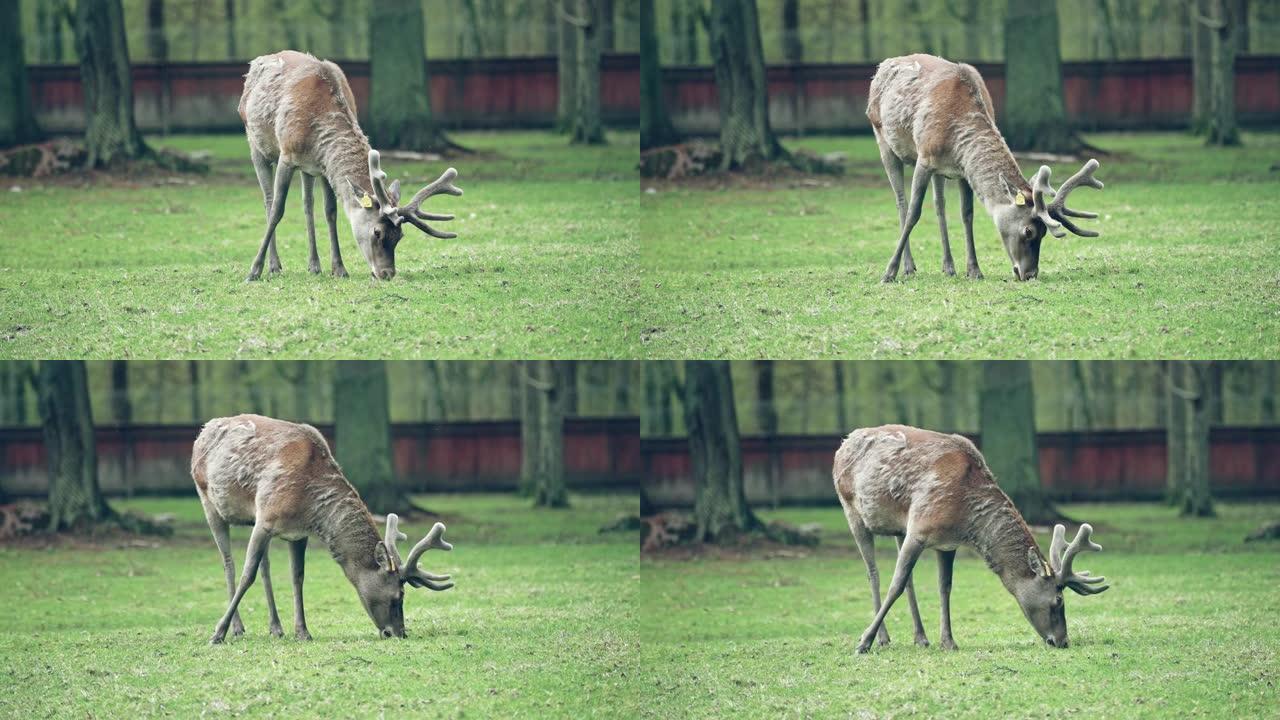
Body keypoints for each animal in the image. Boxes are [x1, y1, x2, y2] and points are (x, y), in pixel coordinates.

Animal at [186, 412, 453, 640]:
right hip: (208, 501)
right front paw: (217, 633)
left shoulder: (295, 532)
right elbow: (246, 575)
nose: (399, 633)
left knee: (265, 567)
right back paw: (237, 628)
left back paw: (276, 628)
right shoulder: (267, 519)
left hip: (252, 518)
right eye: (398, 596)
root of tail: (203, 431)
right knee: (229, 563)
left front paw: (303, 632)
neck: (309, 501)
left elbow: (297, 576)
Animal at [238, 49, 463, 280]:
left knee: (307, 204)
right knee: (268, 200)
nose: (387, 273)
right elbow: (277, 210)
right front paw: (254, 271)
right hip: (255, 144)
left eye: (400, 235)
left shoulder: (323, 166)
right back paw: (274, 266)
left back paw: (314, 265)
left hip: (306, 169)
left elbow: (330, 211)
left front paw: (339, 268)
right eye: (377, 232)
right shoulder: (287, 156)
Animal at [834, 422, 1105, 653]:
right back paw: (882, 637)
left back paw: (920, 638)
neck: (964, 514)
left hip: (898, 529)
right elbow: (895, 585)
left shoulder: (945, 543)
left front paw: (948, 642)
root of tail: (844, 443)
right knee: (874, 574)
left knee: (908, 579)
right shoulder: (919, 529)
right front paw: (863, 642)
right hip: (852, 511)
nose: (1063, 641)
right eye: (1058, 600)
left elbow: (944, 587)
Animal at [865, 53, 1105, 281]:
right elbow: (914, 213)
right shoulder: (924, 158)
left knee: (939, 205)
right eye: (1028, 231)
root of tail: (881, 68)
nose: (1030, 274)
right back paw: (908, 267)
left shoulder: (961, 170)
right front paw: (889, 272)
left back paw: (949, 267)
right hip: (883, 138)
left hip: (938, 171)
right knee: (902, 203)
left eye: (1044, 233)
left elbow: (967, 214)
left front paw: (974, 270)